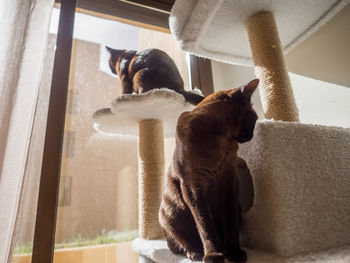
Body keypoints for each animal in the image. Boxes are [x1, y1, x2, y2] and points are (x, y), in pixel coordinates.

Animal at [160, 80, 258, 263]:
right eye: (255, 119)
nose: (251, 136)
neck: (221, 138)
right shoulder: (193, 187)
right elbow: (205, 226)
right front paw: (214, 255)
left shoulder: (230, 182)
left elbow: (230, 225)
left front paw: (234, 253)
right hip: (170, 213)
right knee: (181, 243)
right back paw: (196, 253)